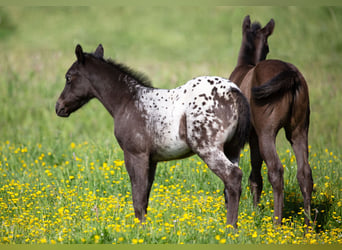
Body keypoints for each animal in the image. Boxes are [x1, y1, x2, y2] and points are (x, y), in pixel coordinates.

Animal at [54, 44, 250, 227]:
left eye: (68, 77)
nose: (59, 108)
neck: (128, 101)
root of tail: (233, 91)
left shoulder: (135, 155)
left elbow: (138, 197)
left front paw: (139, 230)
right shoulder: (152, 160)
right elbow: (145, 196)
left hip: (207, 149)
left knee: (233, 177)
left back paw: (229, 229)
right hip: (232, 150)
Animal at [228, 16, 314, 226]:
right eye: (267, 46)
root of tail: (291, 74)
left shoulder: (251, 137)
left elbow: (253, 174)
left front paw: (253, 211)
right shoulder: (254, 137)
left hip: (267, 133)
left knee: (276, 171)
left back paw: (276, 223)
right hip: (299, 131)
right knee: (304, 173)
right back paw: (308, 226)